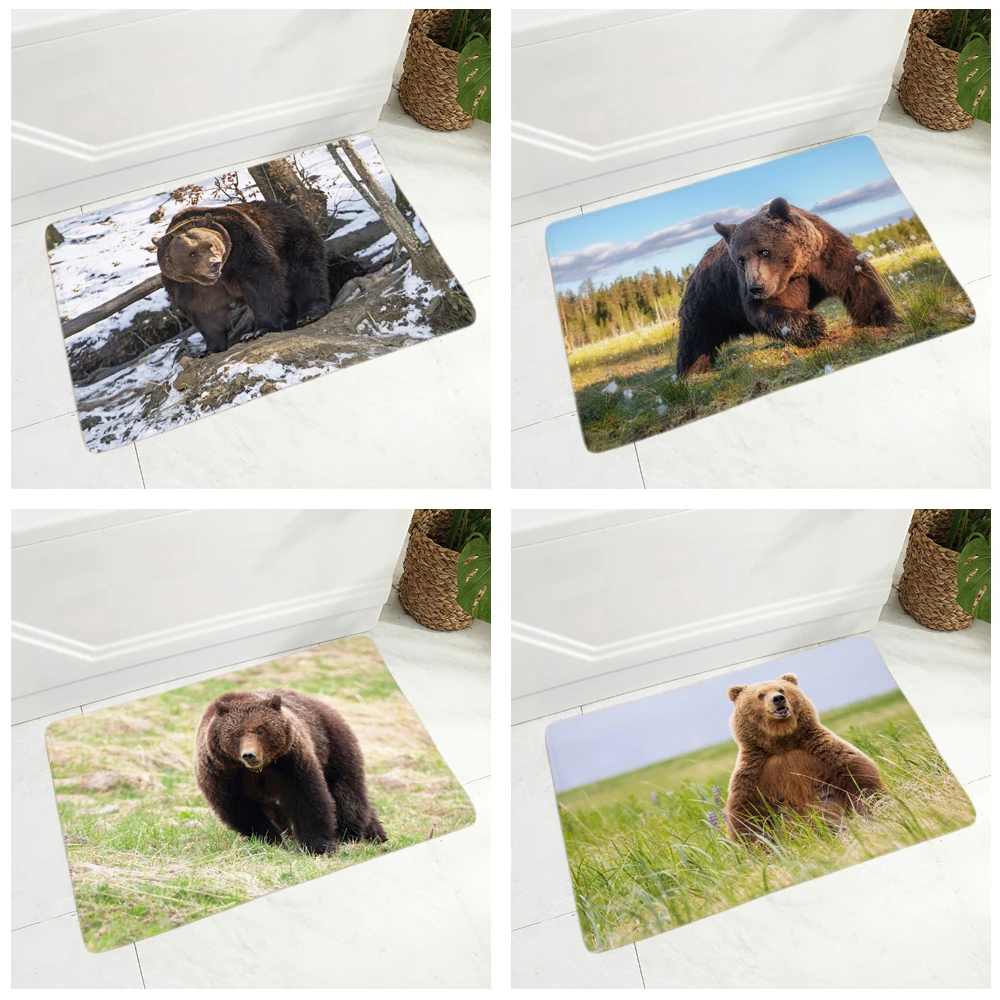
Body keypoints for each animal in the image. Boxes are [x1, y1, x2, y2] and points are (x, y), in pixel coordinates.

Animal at [154, 202, 331, 354]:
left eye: (210, 245)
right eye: (192, 254)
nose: (214, 264)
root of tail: (289, 209)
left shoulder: (242, 247)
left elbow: (261, 284)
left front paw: (258, 331)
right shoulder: (186, 285)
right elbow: (205, 312)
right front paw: (208, 350)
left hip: (291, 239)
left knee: (306, 274)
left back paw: (310, 313)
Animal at [194, 688, 386, 854]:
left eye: (261, 729)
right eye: (235, 733)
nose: (249, 755)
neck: (258, 770)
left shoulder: (290, 761)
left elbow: (307, 797)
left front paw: (318, 846)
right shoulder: (222, 775)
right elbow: (243, 811)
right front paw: (271, 840)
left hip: (332, 744)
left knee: (347, 792)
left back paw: (356, 834)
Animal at [675, 197, 898, 375]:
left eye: (764, 251)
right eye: (740, 259)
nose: (756, 287)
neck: (798, 267)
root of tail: (693, 273)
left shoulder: (825, 254)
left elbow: (857, 280)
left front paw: (883, 317)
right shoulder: (773, 284)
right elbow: (768, 310)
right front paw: (814, 326)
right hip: (709, 302)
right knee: (695, 339)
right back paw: (689, 372)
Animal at [724, 673, 883, 845]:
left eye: (781, 689)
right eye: (760, 694)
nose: (778, 699)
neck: (782, 743)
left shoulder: (825, 754)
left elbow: (859, 781)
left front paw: (873, 811)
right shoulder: (753, 775)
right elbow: (747, 818)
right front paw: (758, 846)